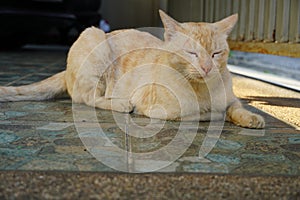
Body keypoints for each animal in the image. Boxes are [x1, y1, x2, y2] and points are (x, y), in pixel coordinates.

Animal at [0, 9, 264, 128]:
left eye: (215, 54)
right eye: (192, 53)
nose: (207, 67)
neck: (203, 90)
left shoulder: (231, 100)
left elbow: (235, 107)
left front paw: (251, 119)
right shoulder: (162, 111)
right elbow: (204, 114)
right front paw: (217, 114)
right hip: (93, 36)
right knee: (87, 98)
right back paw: (121, 104)